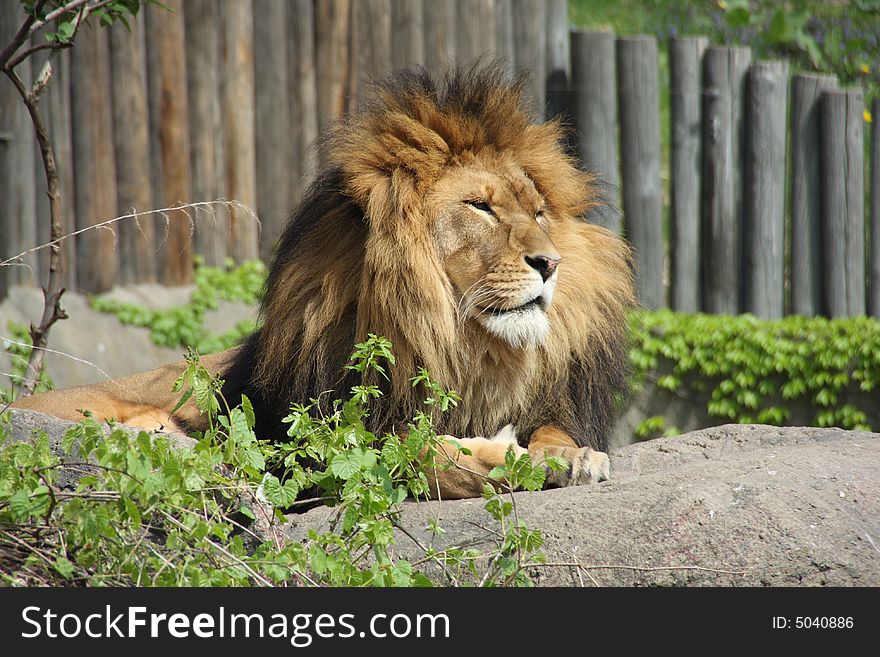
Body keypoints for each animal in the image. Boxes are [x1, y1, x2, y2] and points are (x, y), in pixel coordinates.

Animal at [13, 65, 632, 498]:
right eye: (480, 207)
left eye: (540, 213)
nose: (550, 263)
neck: (463, 347)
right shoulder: (315, 453)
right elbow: (419, 454)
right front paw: (505, 459)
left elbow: (554, 431)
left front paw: (571, 456)